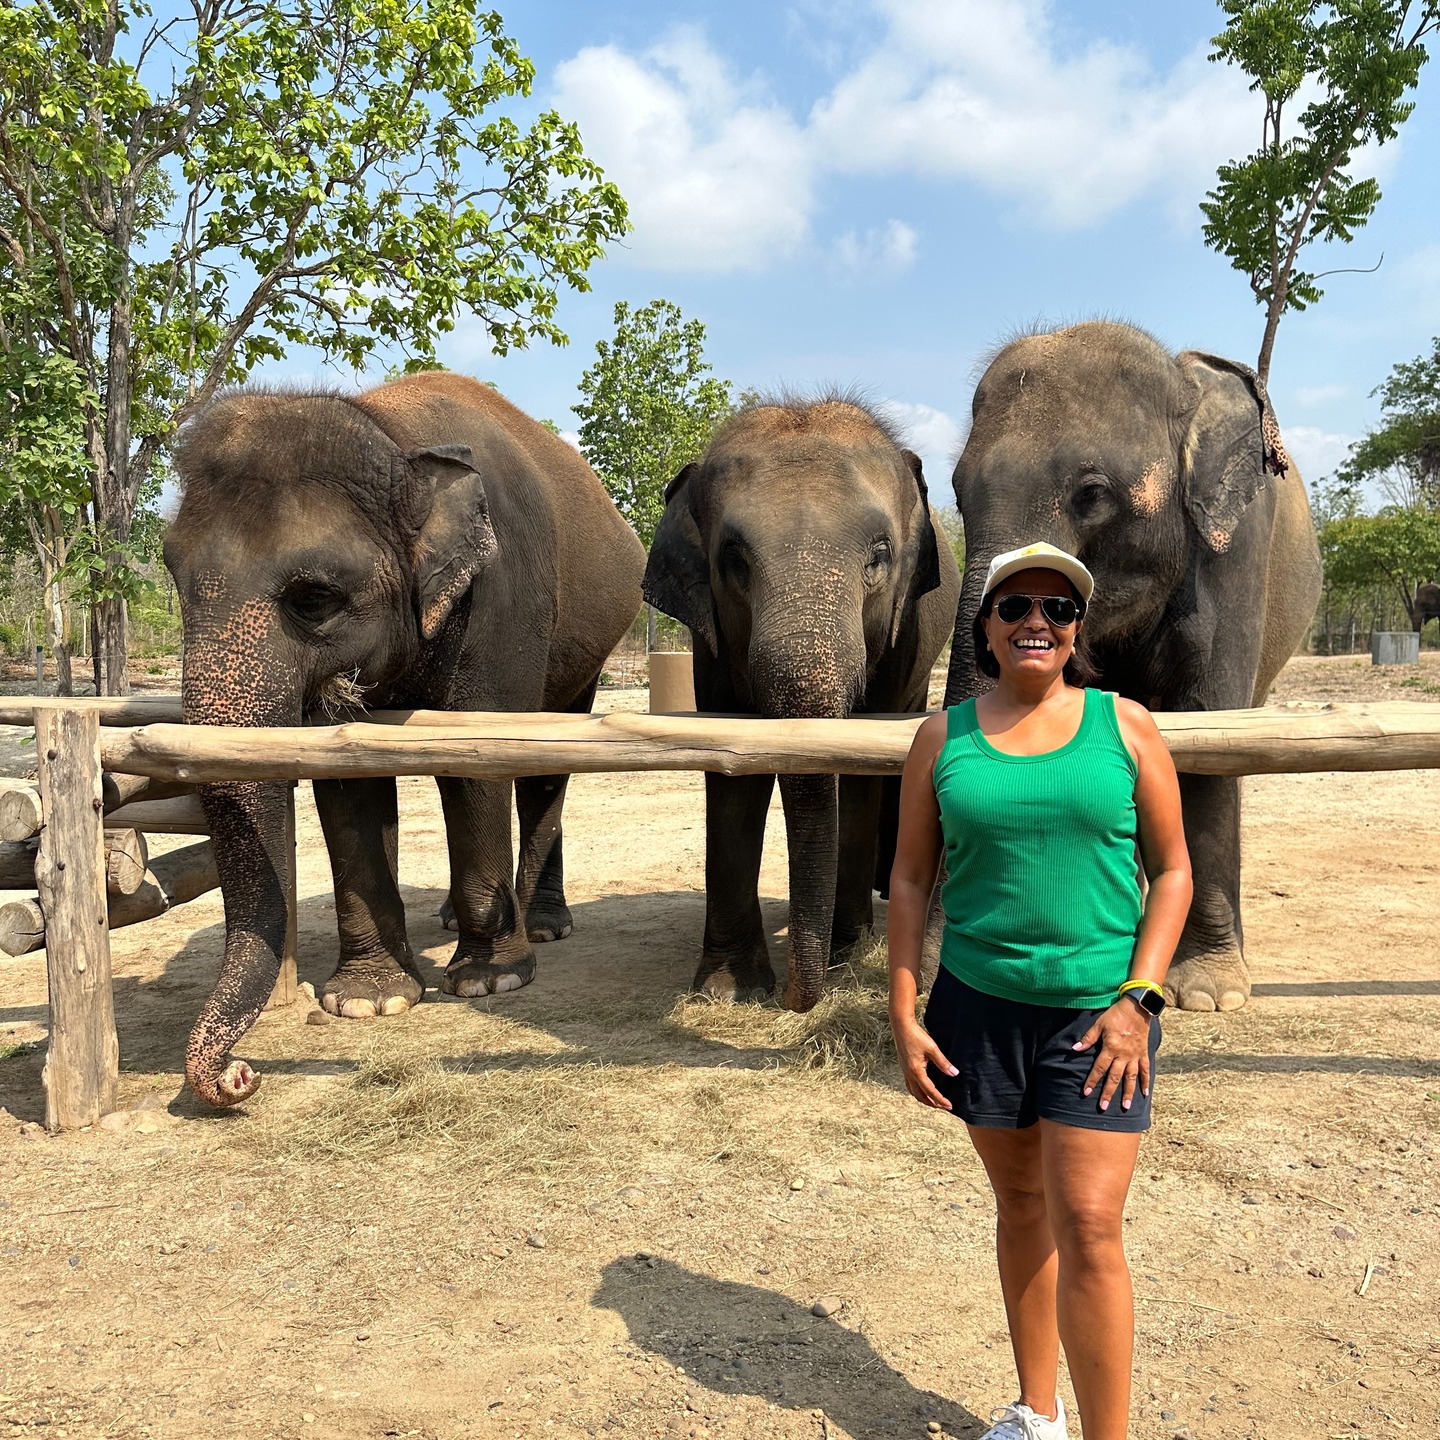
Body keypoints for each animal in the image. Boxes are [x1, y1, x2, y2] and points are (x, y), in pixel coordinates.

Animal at [165, 370, 645, 1105]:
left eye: (313, 598)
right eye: (171, 575)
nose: (241, 1075)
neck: (393, 435)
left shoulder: (502, 599)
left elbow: (479, 761)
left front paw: (491, 980)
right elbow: (347, 781)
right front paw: (368, 1001)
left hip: (588, 653)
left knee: (545, 768)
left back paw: (541, 926)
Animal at [643, 396, 961, 1011]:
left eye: (880, 555)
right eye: (732, 560)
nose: (793, 998)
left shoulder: (900, 634)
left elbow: (858, 764)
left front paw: (844, 952)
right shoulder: (709, 641)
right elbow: (733, 766)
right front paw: (729, 988)